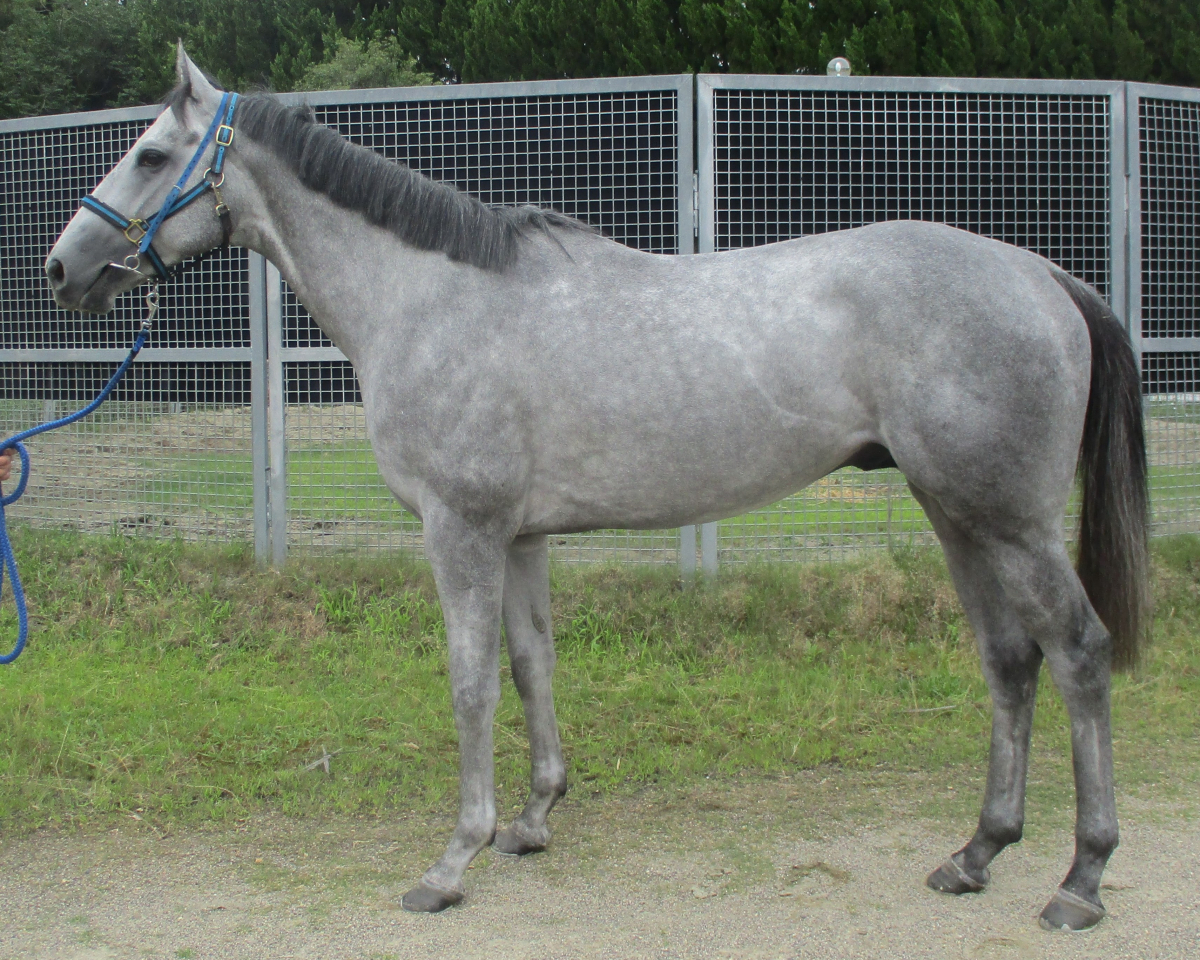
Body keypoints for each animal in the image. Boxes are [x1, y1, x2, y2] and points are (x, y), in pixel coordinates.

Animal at [44, 47, 1148, 930]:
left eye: (150, 156)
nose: (63, 269)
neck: (430, 299)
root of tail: (1042, 275)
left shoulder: (461, 532)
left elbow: (472, 682)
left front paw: (452, 861)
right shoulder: (522, 536)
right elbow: (534, 665)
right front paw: (533, 820)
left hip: (1010, 519)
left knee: (1079, 653)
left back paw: (1081, 879)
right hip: (955, 512)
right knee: (1010, 660)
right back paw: (976, 853)